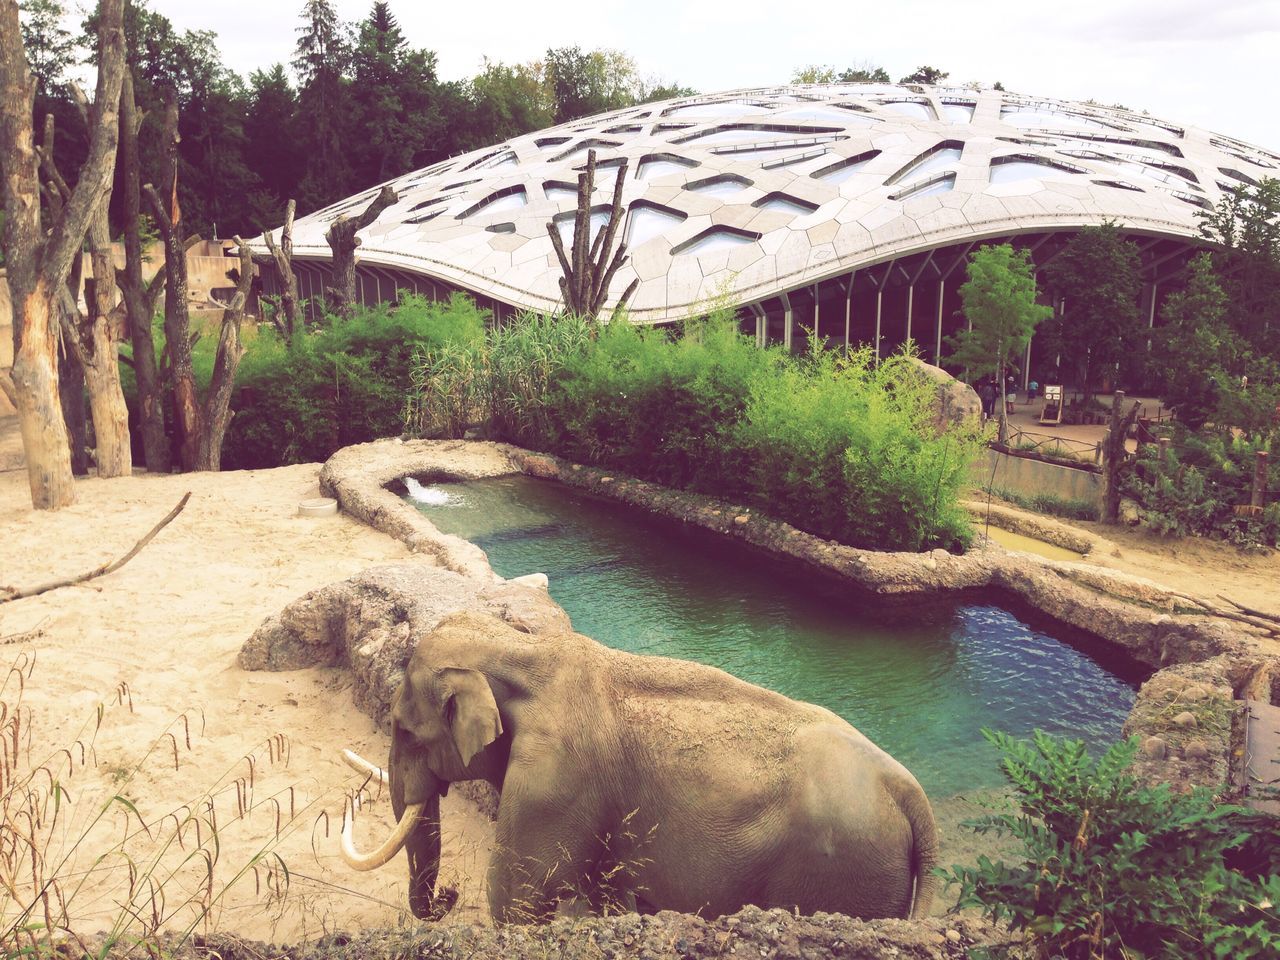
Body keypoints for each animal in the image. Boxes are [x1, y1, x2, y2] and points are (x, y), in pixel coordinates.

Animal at [343, 611, 942, 926]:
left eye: (402, 729)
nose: (446, 896)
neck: (527, 649)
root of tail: (910, 790)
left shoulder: (555, 781)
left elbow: (518, 898)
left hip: (842, 875)